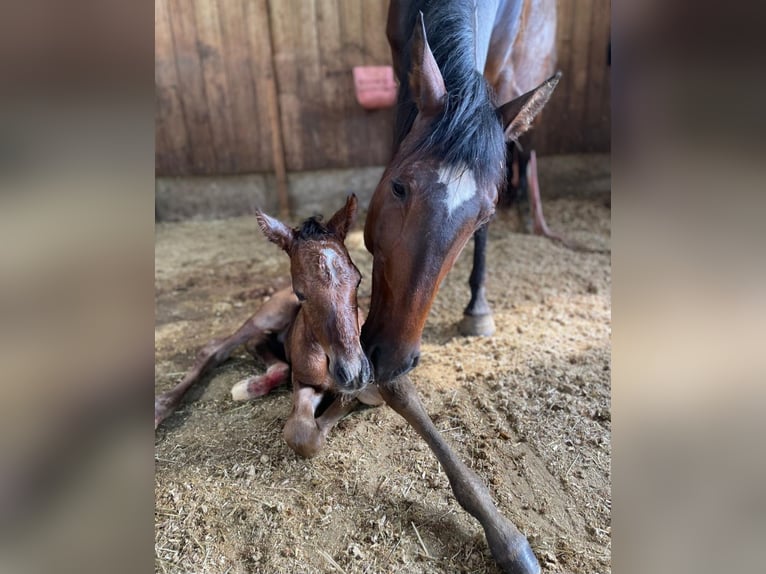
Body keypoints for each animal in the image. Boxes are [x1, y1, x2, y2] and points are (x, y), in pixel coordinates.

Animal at [154, 197, 382, 460]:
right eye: (300, 293)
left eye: (358, 279)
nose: (353, 372)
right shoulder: (304, 381)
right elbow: (301, 434)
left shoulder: (369, 388)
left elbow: (356, 399)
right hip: (269, 314)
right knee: (217, 348)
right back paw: (160, 408)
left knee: (259, 347)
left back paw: (252, 386)